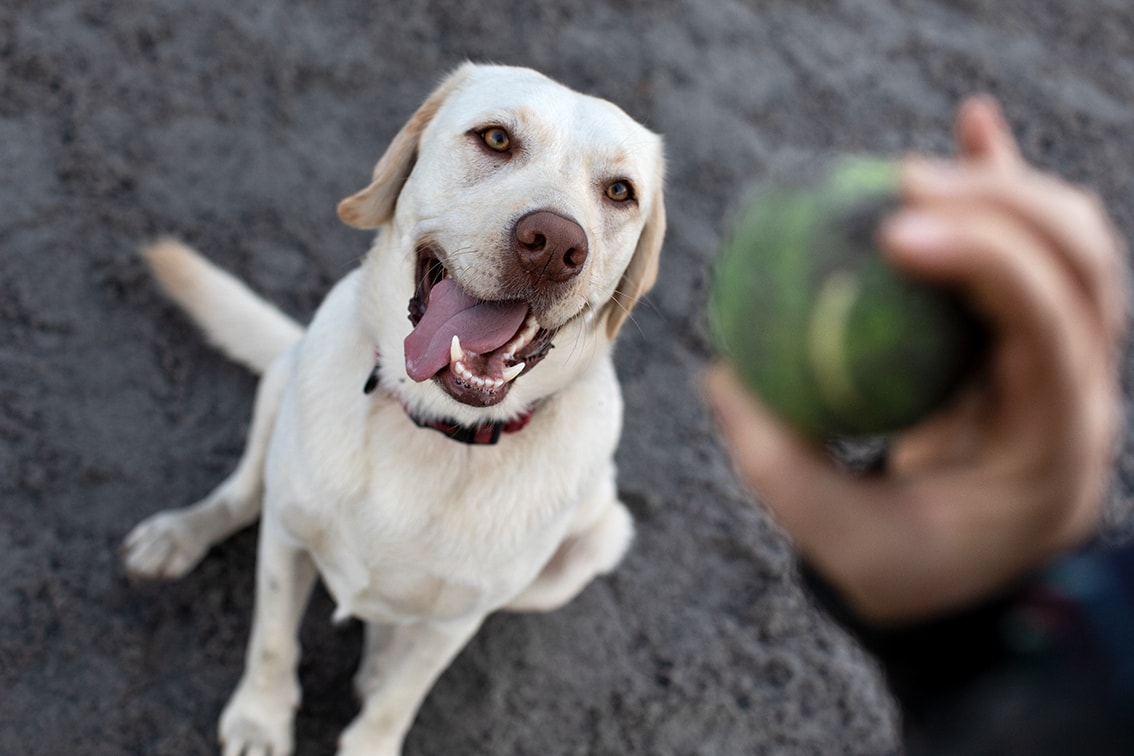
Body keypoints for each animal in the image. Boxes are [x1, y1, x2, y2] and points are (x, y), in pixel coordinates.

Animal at [123, 65, 666, 756]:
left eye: (620, 192)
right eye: (495, 138)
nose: (554, 246)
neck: (433, 426)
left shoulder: (457, 620)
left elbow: (399, 698)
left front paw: (371, 728)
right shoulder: (286, 539)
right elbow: (272, 642)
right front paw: (260, 720)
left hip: (593, 545)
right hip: (280, 386)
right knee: (243, 495)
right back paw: (179, 534)